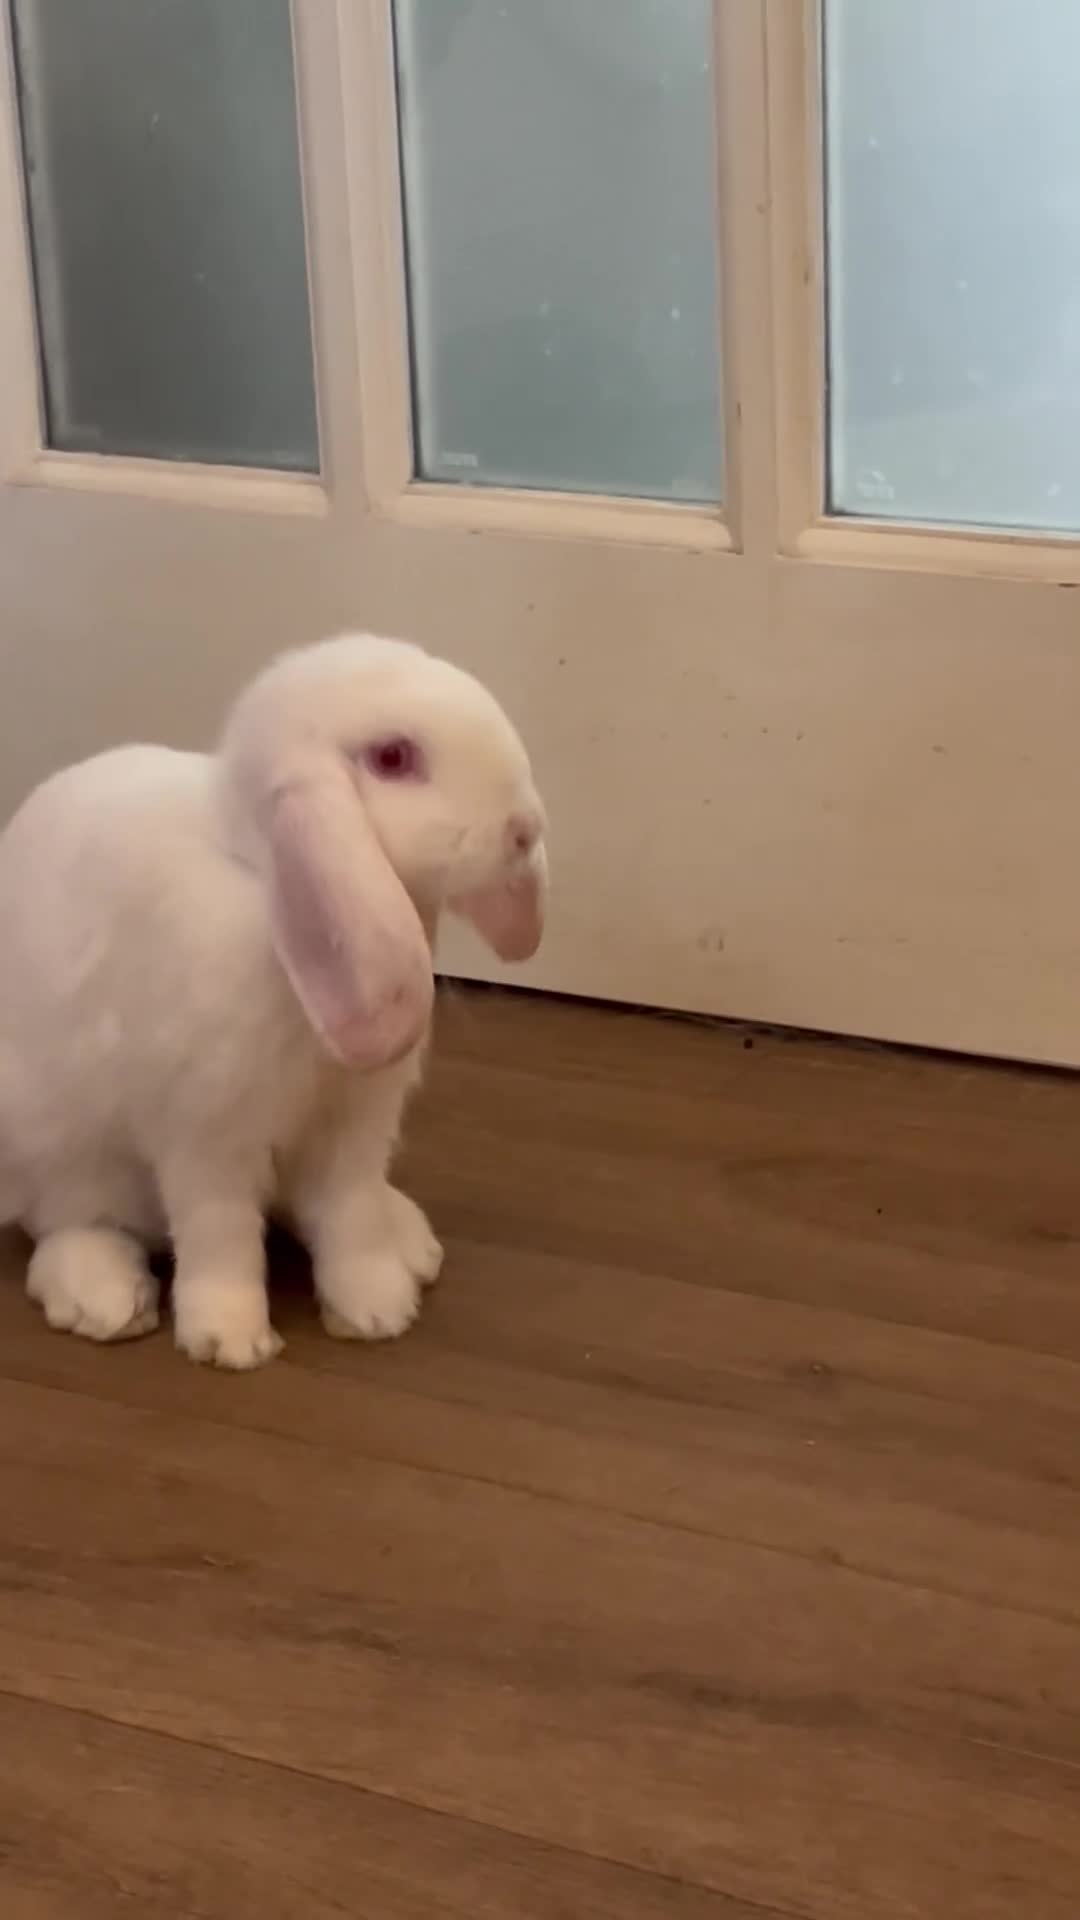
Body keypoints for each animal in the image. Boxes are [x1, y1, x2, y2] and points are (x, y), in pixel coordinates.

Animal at [0, 632, 547, 1369]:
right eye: (393, 758)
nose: (524, 829)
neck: (264, 886)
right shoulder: (205, 1133)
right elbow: (221, 1234)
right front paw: (230, 1341)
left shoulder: (357, 1124)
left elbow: (349, 1218)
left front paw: (377, 1310)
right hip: (52, 1145)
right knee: (66, 1220)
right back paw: (105, 1299)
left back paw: (411, 1241)